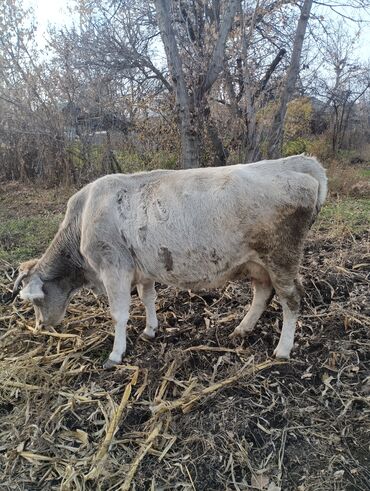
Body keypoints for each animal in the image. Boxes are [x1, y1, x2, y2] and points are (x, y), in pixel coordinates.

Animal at [13, 156, 328, 368]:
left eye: (35, 301)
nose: (41, 326)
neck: (82, 220)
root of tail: (294, 163)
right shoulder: (142, 269)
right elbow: (147, 297)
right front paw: (151, 329)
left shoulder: (114, 268)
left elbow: (119, 313)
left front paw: (116, 354)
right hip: (258, 262)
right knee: (263, 292)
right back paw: (242, 328)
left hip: (281, 258)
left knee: (291, 299)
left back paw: (283, 349)